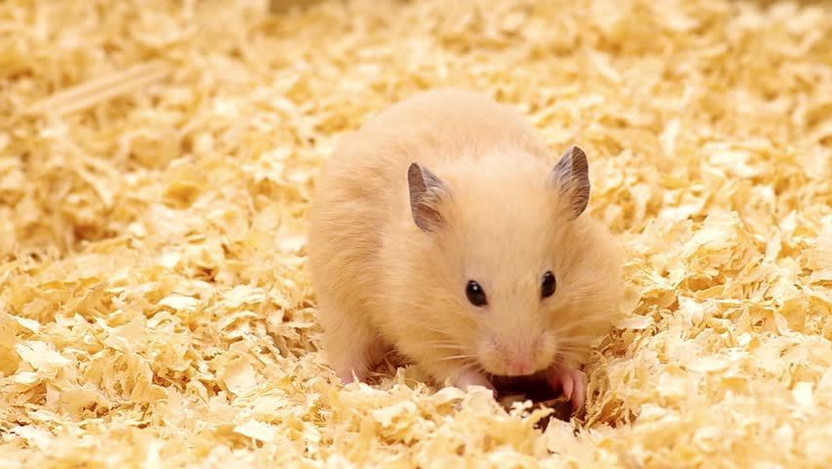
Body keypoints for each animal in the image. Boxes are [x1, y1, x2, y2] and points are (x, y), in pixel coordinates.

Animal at [306, 88, 623, 409]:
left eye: (550, 283)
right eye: (473, 292)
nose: (521, 365)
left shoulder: (590, 305)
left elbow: (569, 360)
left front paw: (576, 389)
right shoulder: (420, 329)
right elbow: (456, 369)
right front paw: (486, 396)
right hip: (341, 303)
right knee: (347, 352)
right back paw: (351, 390)